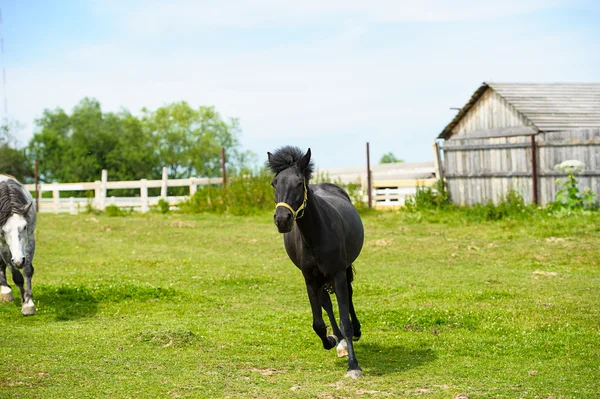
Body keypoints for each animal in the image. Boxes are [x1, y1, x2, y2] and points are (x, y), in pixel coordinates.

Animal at [0, 175, 36, 316]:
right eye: (4, 231)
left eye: (24, 227)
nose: (19, 261)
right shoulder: (3, 245)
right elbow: (16, 275)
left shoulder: (30, 240)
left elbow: (27, 271)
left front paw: (28, 303)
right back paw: (5, 290)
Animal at [268, 146, 366, 378]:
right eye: (274, 183)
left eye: (299, 183)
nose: (282, 219)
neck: (316, 235)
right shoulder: (310, 279)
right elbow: (318, 323)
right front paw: (331, 340)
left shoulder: (338, 274)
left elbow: (346, 320)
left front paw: (353, 365)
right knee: (327, 303)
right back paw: (339, 342)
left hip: (343, 270)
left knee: (349, 295)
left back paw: (355, 332)